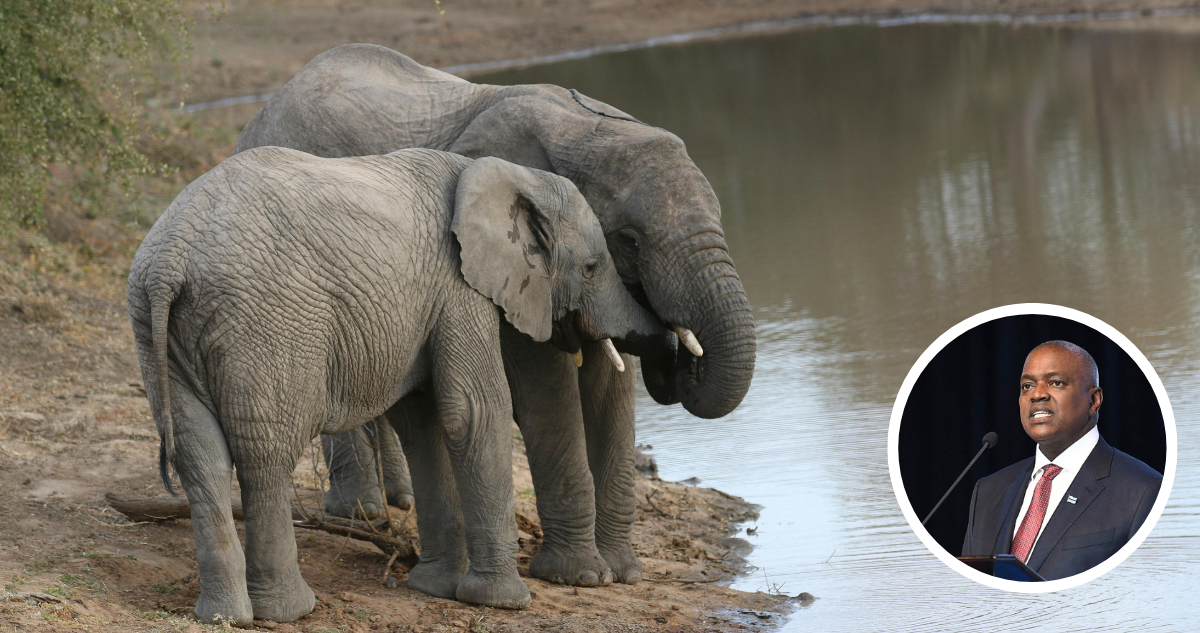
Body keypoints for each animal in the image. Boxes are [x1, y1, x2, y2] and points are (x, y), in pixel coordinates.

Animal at [126, 147, 670, 624]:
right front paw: (503, 603)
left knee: (200, 456)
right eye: (592, 268)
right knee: (266, 454)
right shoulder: (458, 288)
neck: (504, 173)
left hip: (161, 333)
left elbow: (422, 420)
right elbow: (473, 410)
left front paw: (434, 588)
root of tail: (170, 258)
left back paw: (224, 616)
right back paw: (289, 612)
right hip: (266, 325)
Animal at [235, 44, 756, 587]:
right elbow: (547, 389)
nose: (679, 354)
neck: (586, 127)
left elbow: (609, 391)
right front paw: (579, 577)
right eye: (630, 239)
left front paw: (622, 573)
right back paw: (362, 513)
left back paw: (399, 501)